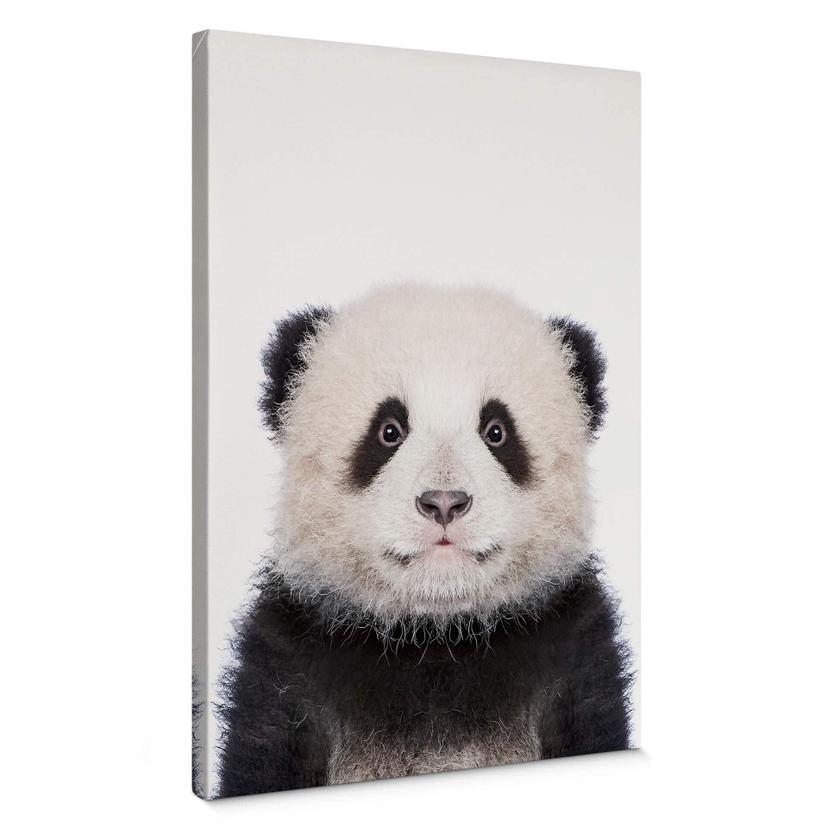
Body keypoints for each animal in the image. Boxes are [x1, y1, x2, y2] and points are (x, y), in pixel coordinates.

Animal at [216, 283, 632, 797]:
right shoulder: (288, 664)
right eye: (388, 431)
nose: (444, 503)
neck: (436, 637)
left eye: (497, 432)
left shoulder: (574, 655)